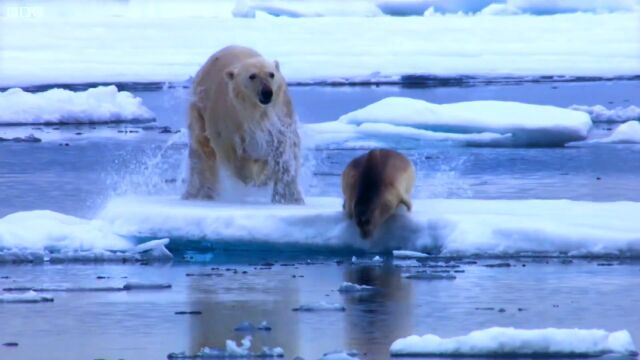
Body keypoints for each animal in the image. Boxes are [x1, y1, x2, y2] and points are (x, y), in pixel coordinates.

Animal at [184, 45, 304, 204]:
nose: (267, 92)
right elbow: (233, 153)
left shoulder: (281, 115)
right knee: (202, 153)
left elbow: (286, 149)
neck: (255, 112)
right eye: (252, 76)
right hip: (199, 110)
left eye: (271, 74)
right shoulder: (228, 119)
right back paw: (200, 194)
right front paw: (257, 178)